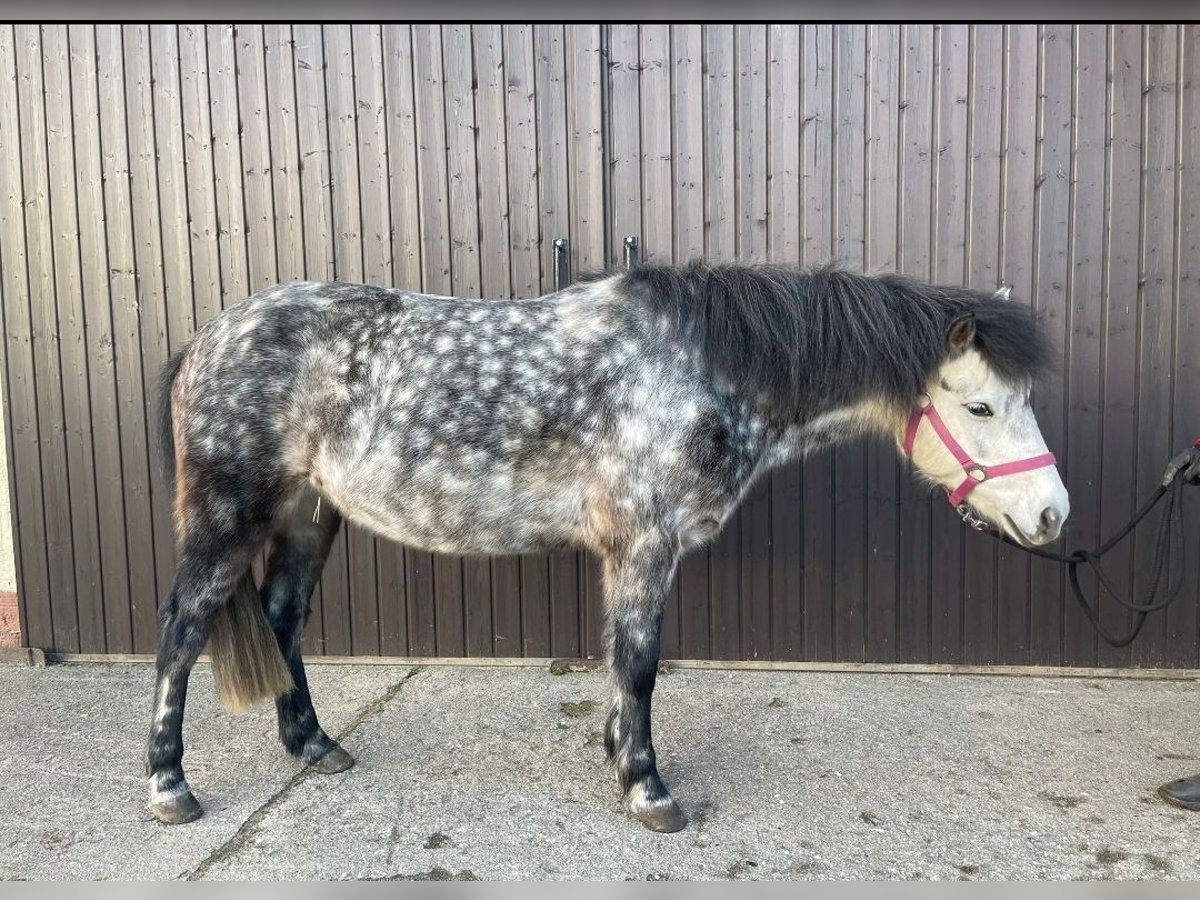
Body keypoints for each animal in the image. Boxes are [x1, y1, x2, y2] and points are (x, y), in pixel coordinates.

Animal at [142, 259, 1070, 830]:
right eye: (980, 406)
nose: (1053, 514)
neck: (697, 370)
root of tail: (206, 339)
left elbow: (625, 665)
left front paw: (620, 754)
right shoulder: (644, 543)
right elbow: (639, 662)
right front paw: (648, 788)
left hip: (309, 514)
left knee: (283, 620)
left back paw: (317, 747)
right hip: (227, 518)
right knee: (182, 631)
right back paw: (169, 787)